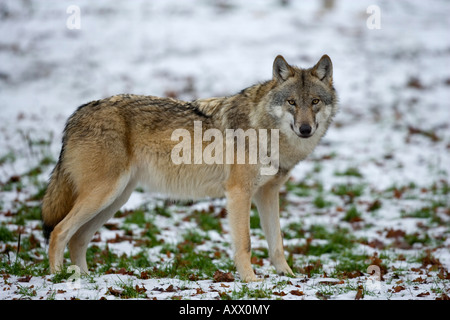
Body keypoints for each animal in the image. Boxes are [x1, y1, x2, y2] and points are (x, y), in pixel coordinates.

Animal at [42, 55, 338, 282]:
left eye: (314, 102)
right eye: (291, 102)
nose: (305, 129)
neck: (264, 129)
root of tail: (75, 115)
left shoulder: (267, 194)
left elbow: (277, 244)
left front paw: (288, 277)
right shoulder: (239, 193)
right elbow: (245, 243)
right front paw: (252, 281)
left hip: (115, 199)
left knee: (77, 239)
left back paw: (85, 279)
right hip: (104, 195)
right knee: (58, 232)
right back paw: (60, 278)